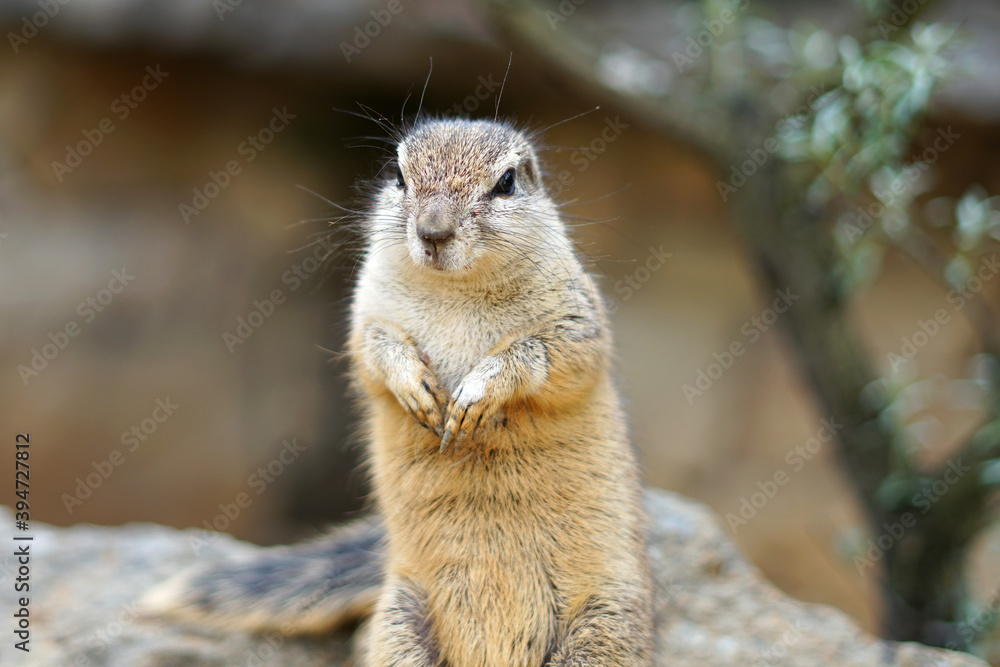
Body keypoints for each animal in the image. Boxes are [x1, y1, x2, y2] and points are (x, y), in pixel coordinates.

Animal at [143, 118, 656, 666]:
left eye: (507, 183)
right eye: (397, 173)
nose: (433, 232)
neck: (454, 291)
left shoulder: (576, 322)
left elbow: (543, 354)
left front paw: (476, 395)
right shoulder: (365, 315)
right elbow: (374, 350)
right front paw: (415, 388)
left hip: (607, 624)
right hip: (400, 617)